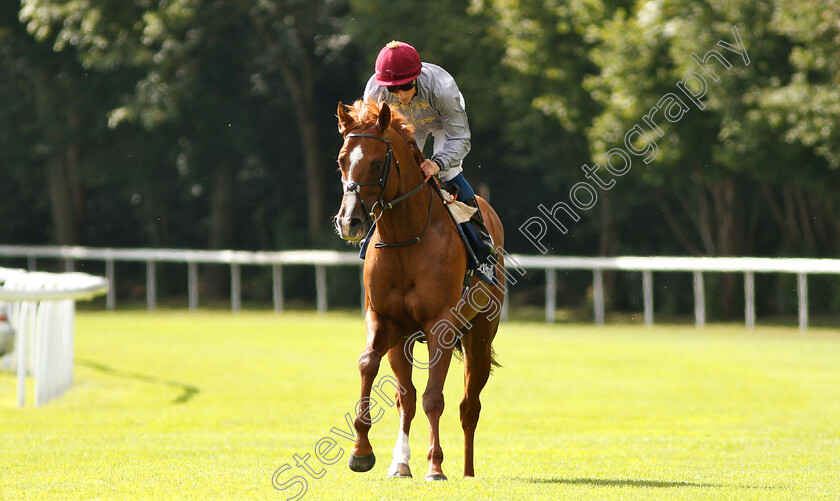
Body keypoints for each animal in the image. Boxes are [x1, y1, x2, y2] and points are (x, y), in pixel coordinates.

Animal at [334, 99, 506, 478]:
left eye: (377, 162)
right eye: (342, 159)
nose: (349, 221)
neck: (405, 237)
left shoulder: (440, 324)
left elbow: (434, 398)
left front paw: (435, 465)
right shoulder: (384, 319)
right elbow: (371, 366)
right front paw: (363, 451)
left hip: (481, 333)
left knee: (469, 405)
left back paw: (468, 471)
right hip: (405, 339)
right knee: (407, 397)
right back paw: (401, 462)